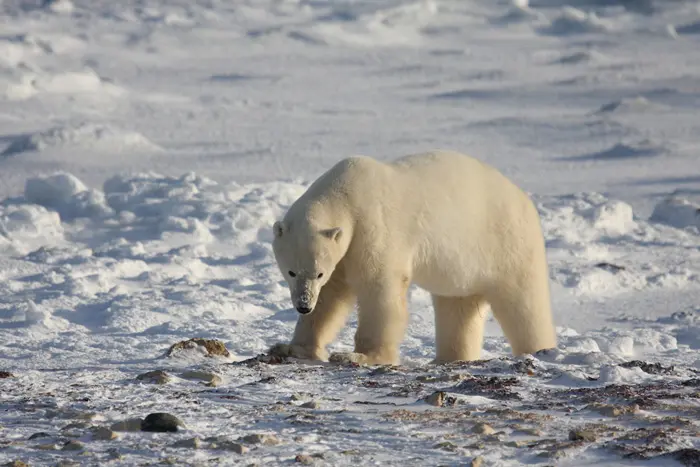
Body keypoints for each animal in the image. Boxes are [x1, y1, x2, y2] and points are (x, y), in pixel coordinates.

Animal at [270, 150, 556, 366]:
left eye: (318, 272)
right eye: (291, 271)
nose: (303, 305)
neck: (347, 193)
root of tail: (524, 199)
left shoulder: (373, 228)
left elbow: (379, 289)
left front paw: (360, 355)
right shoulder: (343, 253)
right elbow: (332, 295)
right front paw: (290, 347)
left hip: (507, 244)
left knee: (524, 305)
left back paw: (542, 351)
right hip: (463, 267)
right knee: (458, 307)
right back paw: (448, 358)